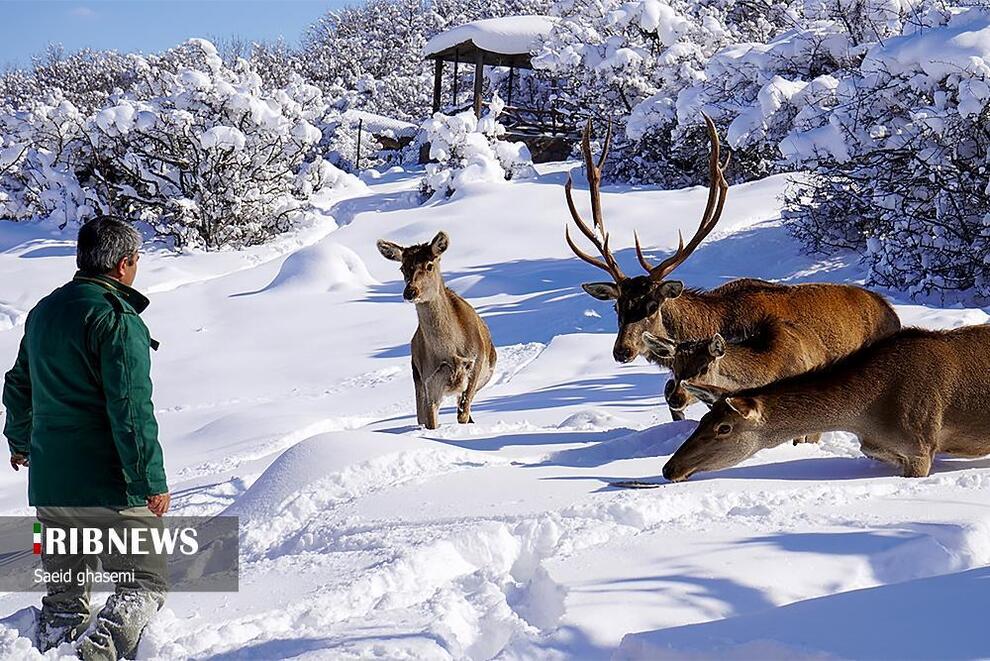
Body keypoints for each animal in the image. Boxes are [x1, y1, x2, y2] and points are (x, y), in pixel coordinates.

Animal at [376, 231, 496, 428]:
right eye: (402, 268)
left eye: (429, 265)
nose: (410, 292)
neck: (451, 352)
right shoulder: (429, 380)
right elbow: (431, 422)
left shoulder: (475, 364)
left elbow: (462, 414)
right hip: (417, 379)